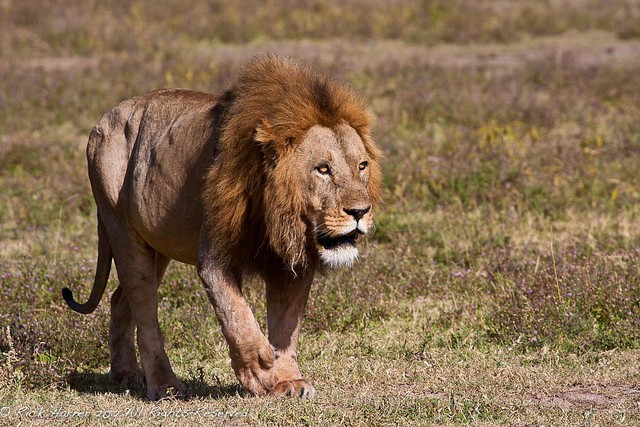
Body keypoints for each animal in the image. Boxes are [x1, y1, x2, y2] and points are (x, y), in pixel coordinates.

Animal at [61, 54, 380, 402]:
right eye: (322, 169)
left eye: (362, 166)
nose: (360, 211)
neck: (279, 215)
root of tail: (104, 118)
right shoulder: (214, 257)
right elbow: (236, 315)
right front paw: (257, 369)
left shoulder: (291, 264)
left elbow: (286, 327)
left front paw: (287, 381)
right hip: (123, 230)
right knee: (144, 309)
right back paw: (164, 384)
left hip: (157, 246)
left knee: (121, 300)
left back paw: (125, 374)